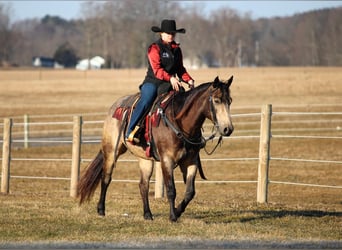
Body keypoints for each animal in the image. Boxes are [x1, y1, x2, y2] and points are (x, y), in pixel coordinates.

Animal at [76, 75, 234, 222]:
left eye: (230, 101)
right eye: (217, 100)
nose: (228, 129)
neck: (180, 123)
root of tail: (114, 108)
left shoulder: (191, 161)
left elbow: (190, 192)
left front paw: (178, 211)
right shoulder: (167, 160)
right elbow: (171, 189)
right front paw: (173, 216)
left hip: (144, 159)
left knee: (143, 184)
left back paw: (147, 214)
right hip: (111, 151)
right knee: (106, 178)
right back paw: (101, 209)